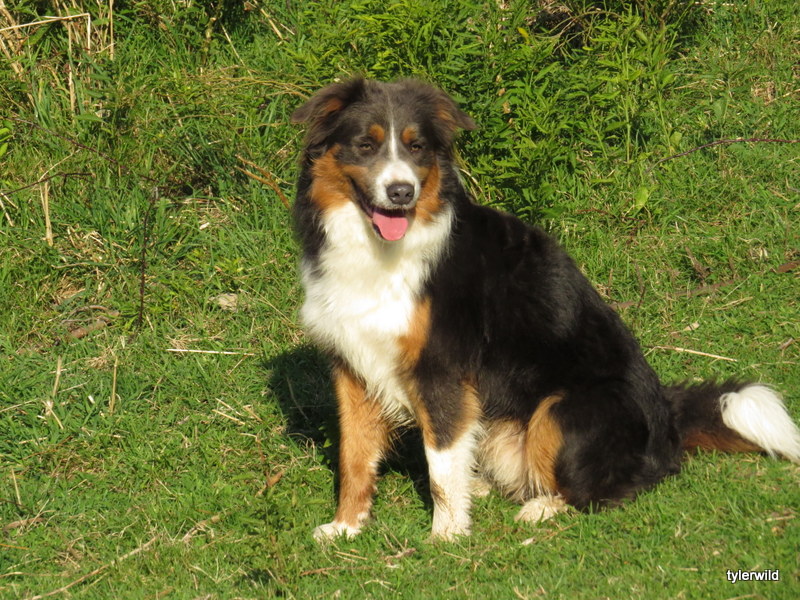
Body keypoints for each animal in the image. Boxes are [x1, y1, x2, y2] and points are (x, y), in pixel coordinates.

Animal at [291, 78, 800, 541]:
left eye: (416, 147)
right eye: (365, 145)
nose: (401, 191)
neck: (379, 251)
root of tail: (667, 418)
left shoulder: (441, 370)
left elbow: (439, 468)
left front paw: (446, 537)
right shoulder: (353, 364)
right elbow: (354, 456)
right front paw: (346, 526)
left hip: (561, 408)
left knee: (611, 486)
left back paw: (542, 508)